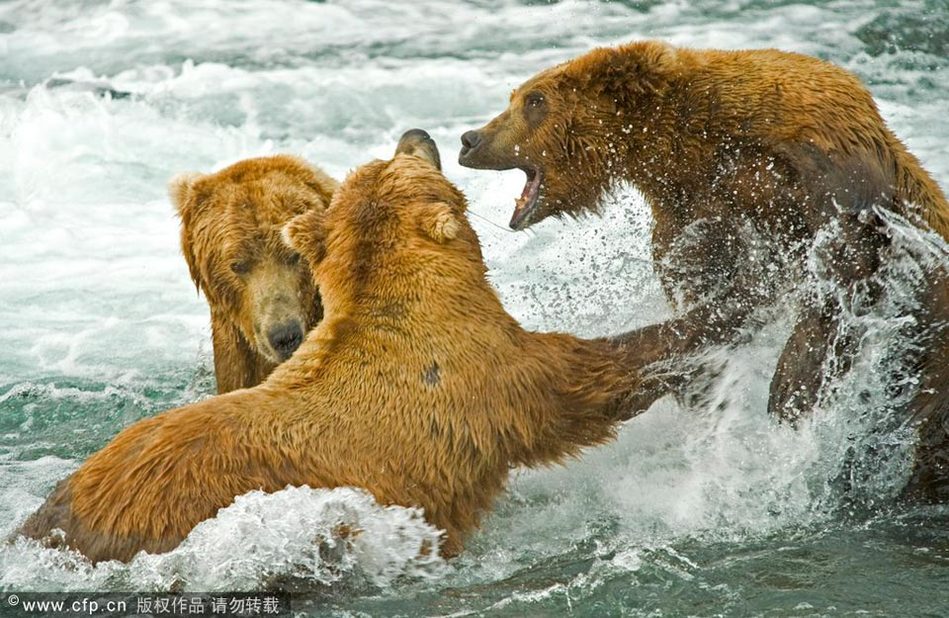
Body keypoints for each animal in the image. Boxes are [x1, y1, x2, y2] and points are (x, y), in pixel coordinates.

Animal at [460, 42, 948, 496]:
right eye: (515, 96)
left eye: (533, 99)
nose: (470, 138)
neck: (692, 144)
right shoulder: (691, 213)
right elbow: (706, 285)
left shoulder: (824, 163)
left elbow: (842, 269)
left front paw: (790, 388)